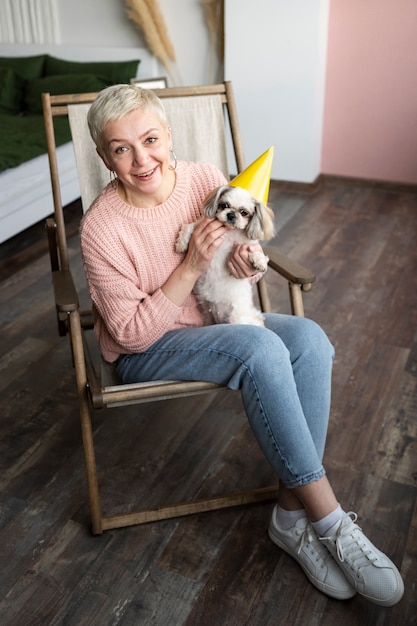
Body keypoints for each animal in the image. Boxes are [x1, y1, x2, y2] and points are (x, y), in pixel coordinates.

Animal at [175, 183, 274, 324]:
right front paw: (181, 243)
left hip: (236, 319)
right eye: (224, 205)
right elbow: (188, 227)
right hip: (208, 317)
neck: (229, 231)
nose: (231, 214)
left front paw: (259, 262)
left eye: (244, 212)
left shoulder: (244, 246)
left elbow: (254, 252)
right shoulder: (200, 226)